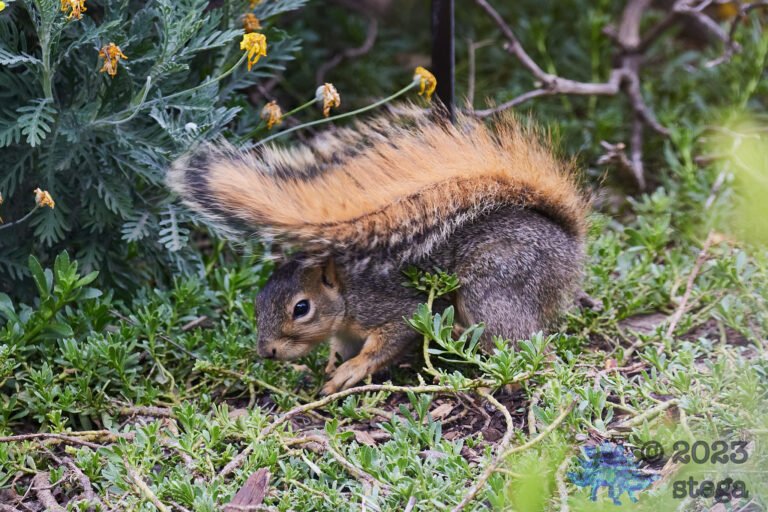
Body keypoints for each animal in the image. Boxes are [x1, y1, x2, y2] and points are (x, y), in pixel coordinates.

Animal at [167, 107, 589, 395]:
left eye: (301, 308)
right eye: (257, 301)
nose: (266, 351)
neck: (346, 295)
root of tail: (568, 245)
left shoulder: (394, 308)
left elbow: (391, 337)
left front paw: (352, 370)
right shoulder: (345, 331)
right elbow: (341, 347)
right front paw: (334, 363)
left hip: (494, 285)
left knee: (531, 348)